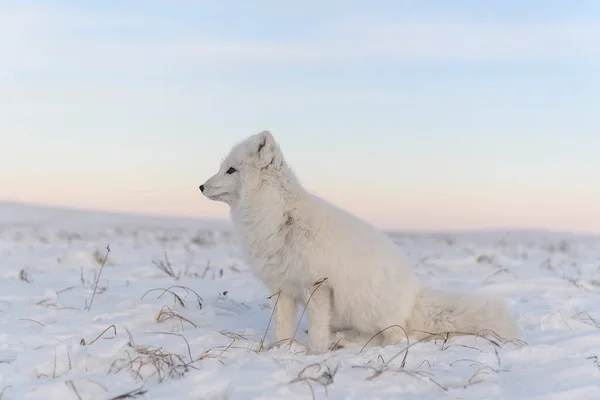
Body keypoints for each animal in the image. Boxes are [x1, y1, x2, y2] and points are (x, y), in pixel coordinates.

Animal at [199, 131, 516, 354]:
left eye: (231, 170)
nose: (200, 186)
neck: (278, 216)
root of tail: (414, 294)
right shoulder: (283, 289)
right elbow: (282, 327)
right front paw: (280, 350)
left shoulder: (318, 286)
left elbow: (317, 330)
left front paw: (314, 355)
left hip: (369, 309)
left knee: (394, 338)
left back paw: (347, 344)